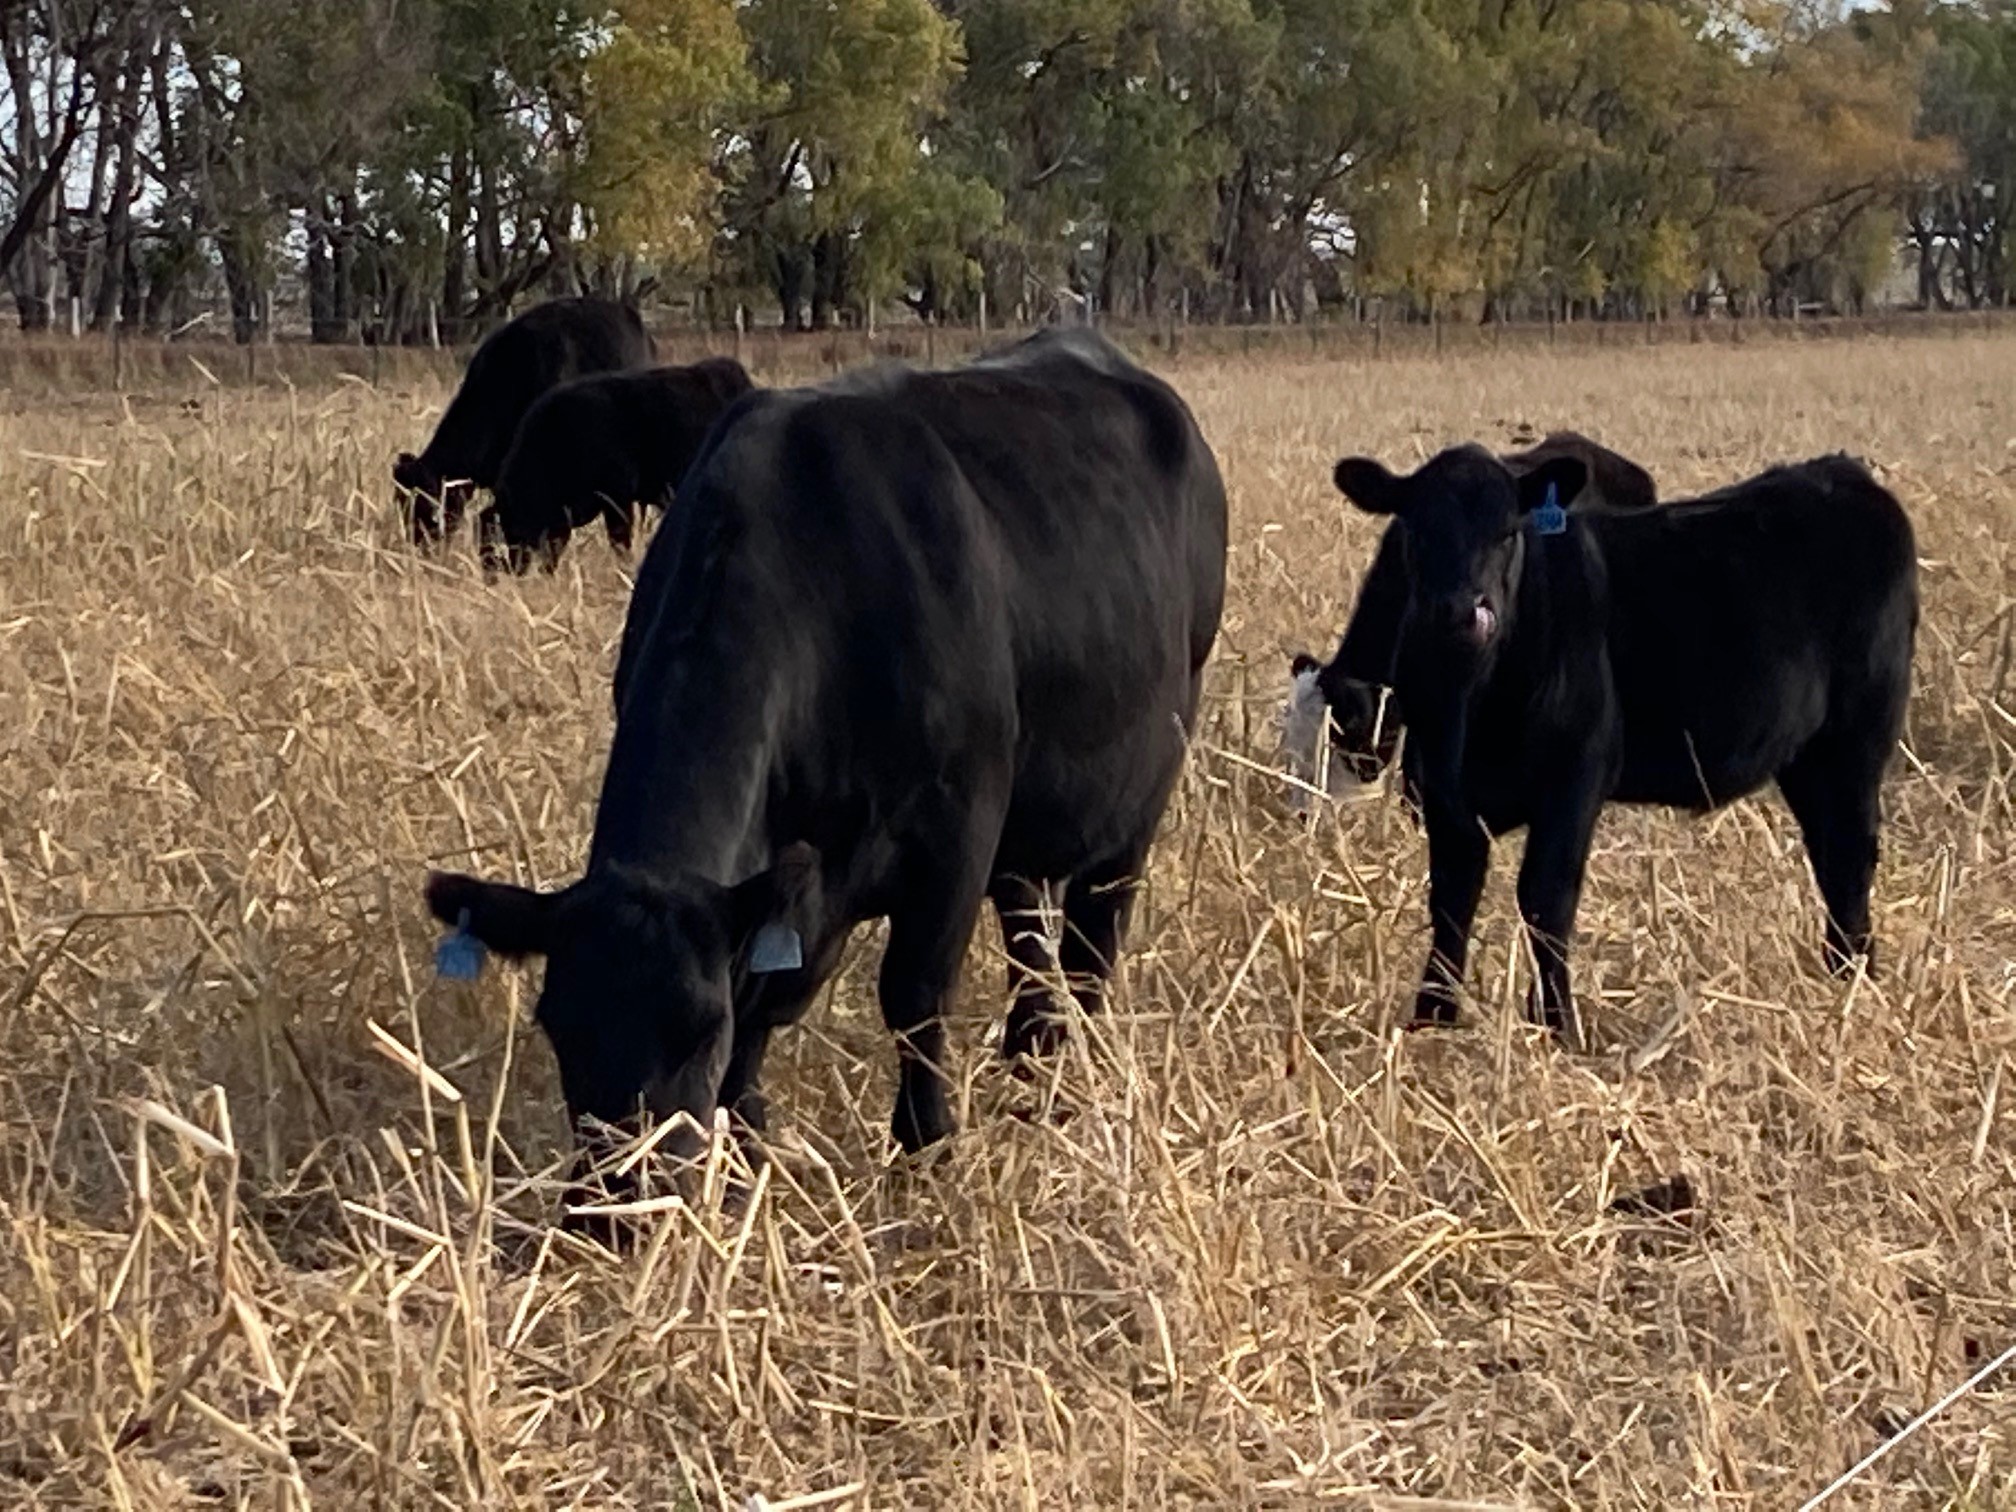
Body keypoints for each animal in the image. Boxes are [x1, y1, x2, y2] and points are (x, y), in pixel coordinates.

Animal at [1330, 443, 1911, 1048]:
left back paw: (1855, 978)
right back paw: (1843, 973)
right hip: (1807, 759)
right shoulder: (1444, 795)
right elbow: (1449, 902)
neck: (1471, 705)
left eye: (1509, 531)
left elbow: (1546, 899)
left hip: (1857, 740)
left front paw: (1559, 1026)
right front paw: (1431, 1018)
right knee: (1829, 854)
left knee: (1851, 854)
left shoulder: (1576, 777)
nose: (1464, 611)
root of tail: (1839, 471)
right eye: (1416, 531)